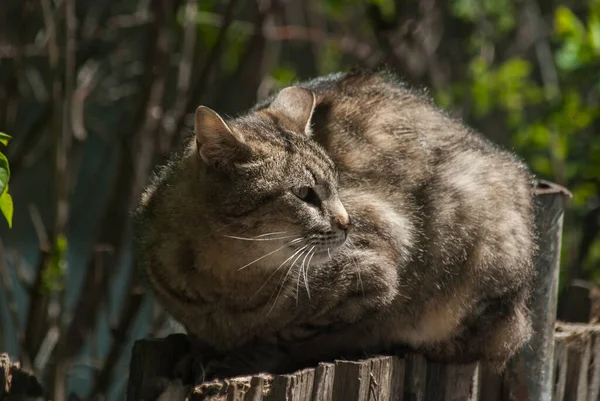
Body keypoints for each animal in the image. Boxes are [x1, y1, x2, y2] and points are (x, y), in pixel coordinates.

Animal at [134, 69, 536, 382]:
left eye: (337, 184)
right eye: (305, 194)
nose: (346, 222)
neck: (223, 283)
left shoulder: (378, 263)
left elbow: (289, 334)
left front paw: (244, 357)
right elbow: (200, 335)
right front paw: (198, 355)